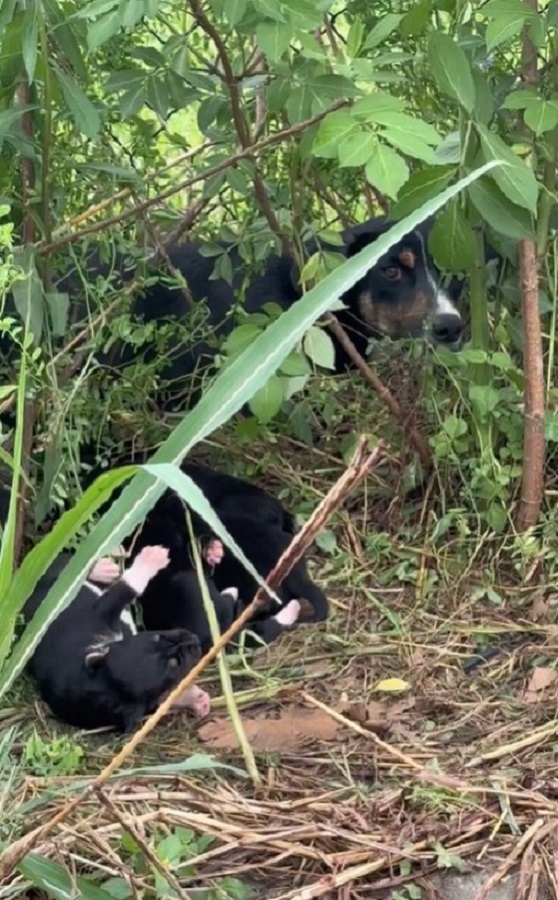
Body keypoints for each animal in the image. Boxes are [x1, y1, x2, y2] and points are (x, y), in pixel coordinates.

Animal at [22, 540, 212, 732]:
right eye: (173, 664)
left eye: (157, 637)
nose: (194, 639)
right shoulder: (103, 609)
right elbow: (127, 587)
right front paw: (152, 558)